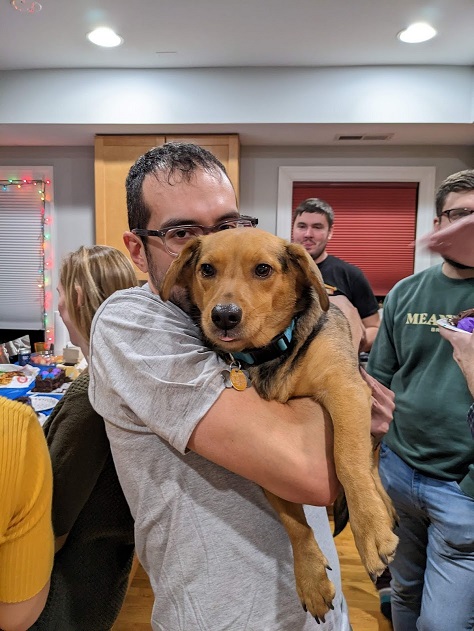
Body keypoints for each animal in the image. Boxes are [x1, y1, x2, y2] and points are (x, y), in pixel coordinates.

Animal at [161, 226, 398, 624]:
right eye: (207, 269)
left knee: (370, 469)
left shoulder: (346, 389)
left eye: (263, 270)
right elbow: (293, 521)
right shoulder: (270, 466)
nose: (223, 316)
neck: (273, 350)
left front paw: (370, 531)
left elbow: (348, 460)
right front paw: (311, 578)